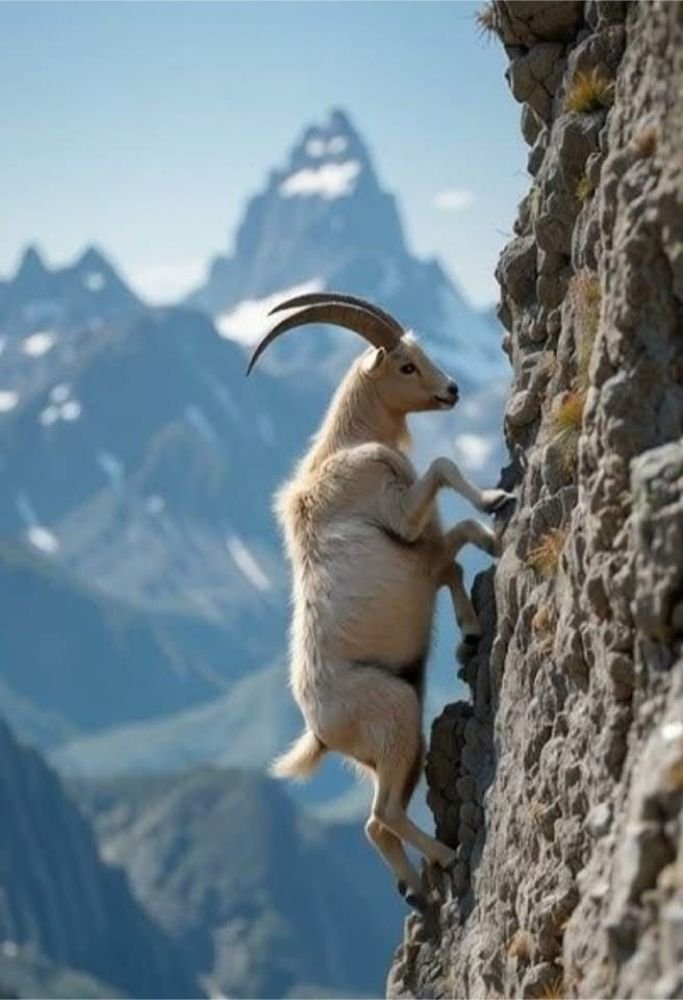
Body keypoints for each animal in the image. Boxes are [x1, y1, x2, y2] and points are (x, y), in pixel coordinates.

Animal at [247, 292, 513, 910]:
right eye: (406, 366)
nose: (453, 390)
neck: (344, 448)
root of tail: (320, 732)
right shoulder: (404, 519)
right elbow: (445, 474)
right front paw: (496, 501)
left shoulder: (426, 552)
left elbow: (453, 554)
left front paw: (470, 628)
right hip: (395, 717)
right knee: (384, 813)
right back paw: (445, 858)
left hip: (399, 748)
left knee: (374, 822)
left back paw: (415, 888)